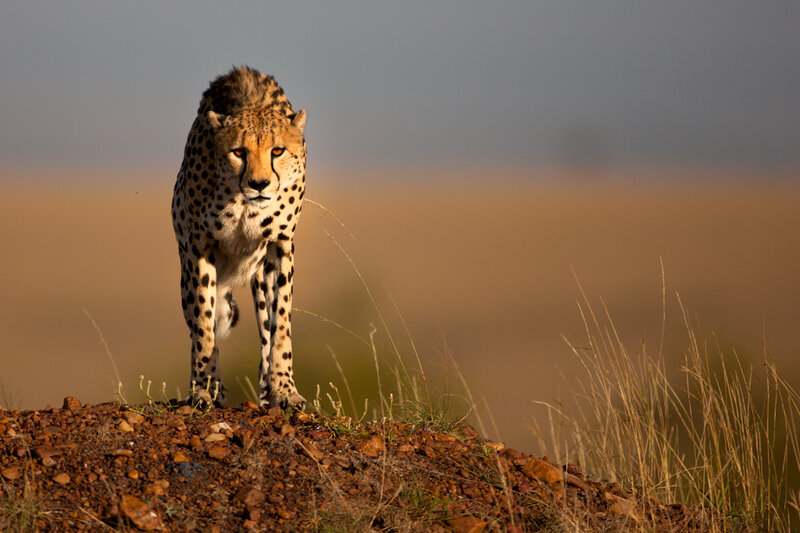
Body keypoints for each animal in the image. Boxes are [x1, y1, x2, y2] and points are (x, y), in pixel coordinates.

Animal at [171, 66, 307, 411]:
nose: (259, 184)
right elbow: (204, 323)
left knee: (265, 329)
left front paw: (284, 389)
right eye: (239, 152)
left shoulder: (280, 247)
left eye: (277, 151)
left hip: (260, 275)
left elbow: (280, 325)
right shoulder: (201, 248)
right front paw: (205, 388)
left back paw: (266, 391)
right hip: (186, 273)